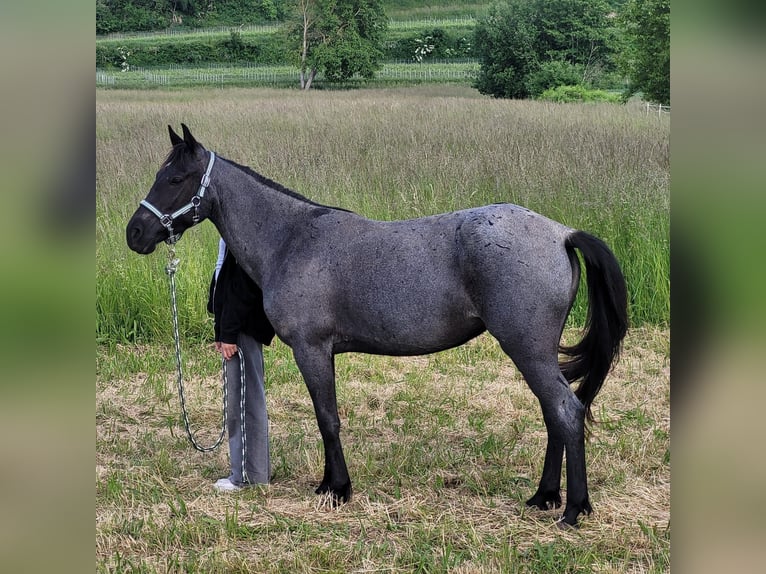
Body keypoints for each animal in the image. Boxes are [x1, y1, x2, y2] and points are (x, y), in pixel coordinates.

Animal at [126, 124, 628, 527]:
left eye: (175, 179)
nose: (135, 233)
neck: (291, 238)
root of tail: (561, 233)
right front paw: (330, 484)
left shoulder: (312, 350)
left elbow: (327, 418)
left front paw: (337, 489)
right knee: (554, 415)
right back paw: (544, 496)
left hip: (528, 349)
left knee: (566, 411)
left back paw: (572, 509)